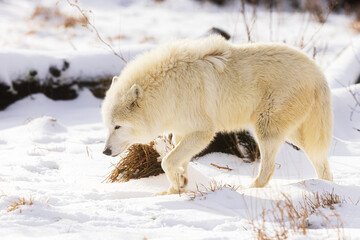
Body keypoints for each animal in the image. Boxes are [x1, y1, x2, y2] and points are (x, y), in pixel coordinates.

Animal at [100, 34, 332, 194]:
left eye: (118, 126)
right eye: (108, 126)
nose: (105, 151)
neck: (168, 89)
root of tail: (318, 72)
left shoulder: (204, 132)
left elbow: (167, 161)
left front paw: (177, 185)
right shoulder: (182, 131)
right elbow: (178, 160)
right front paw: (177, 188)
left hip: (266, 129)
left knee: (269, 168)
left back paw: (250, 189)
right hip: (295, 134)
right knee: (321, 162)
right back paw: (325, 186)